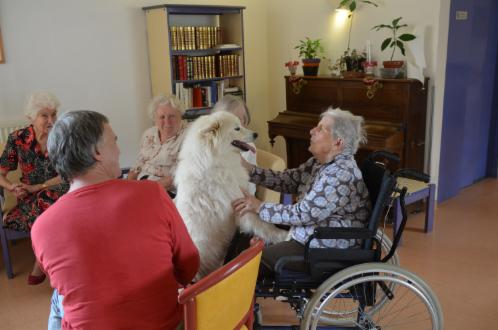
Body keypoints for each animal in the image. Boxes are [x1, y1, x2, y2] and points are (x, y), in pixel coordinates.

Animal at [175, 111, 288, 278]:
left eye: (240, 124)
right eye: (237, 128)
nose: (256, 134)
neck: (216, 160)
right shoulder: (241, 206)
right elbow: (264, 225)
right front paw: (283, 235)